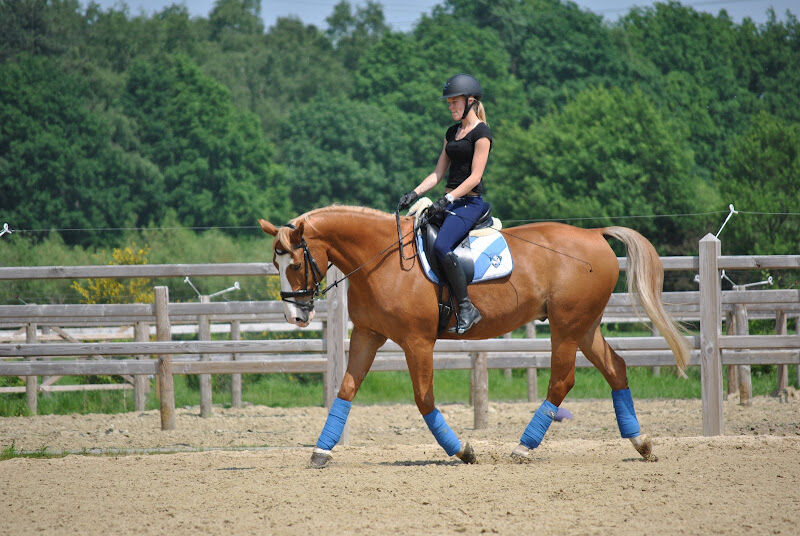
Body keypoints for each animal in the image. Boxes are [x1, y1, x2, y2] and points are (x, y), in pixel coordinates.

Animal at [260, 203, 692, 466]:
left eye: (295, 264)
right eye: (275, 264)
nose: (294, 315)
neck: (380, 259)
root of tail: (596, 234)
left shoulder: (417, 342)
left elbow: (423, 398)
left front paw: (463, 451)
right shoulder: (368, 334)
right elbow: (346, 389)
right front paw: (321, 450)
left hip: (567, 328)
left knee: (562, 380)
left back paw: (523, 447)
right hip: (584, 327)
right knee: (616, 368)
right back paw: (641, 443)